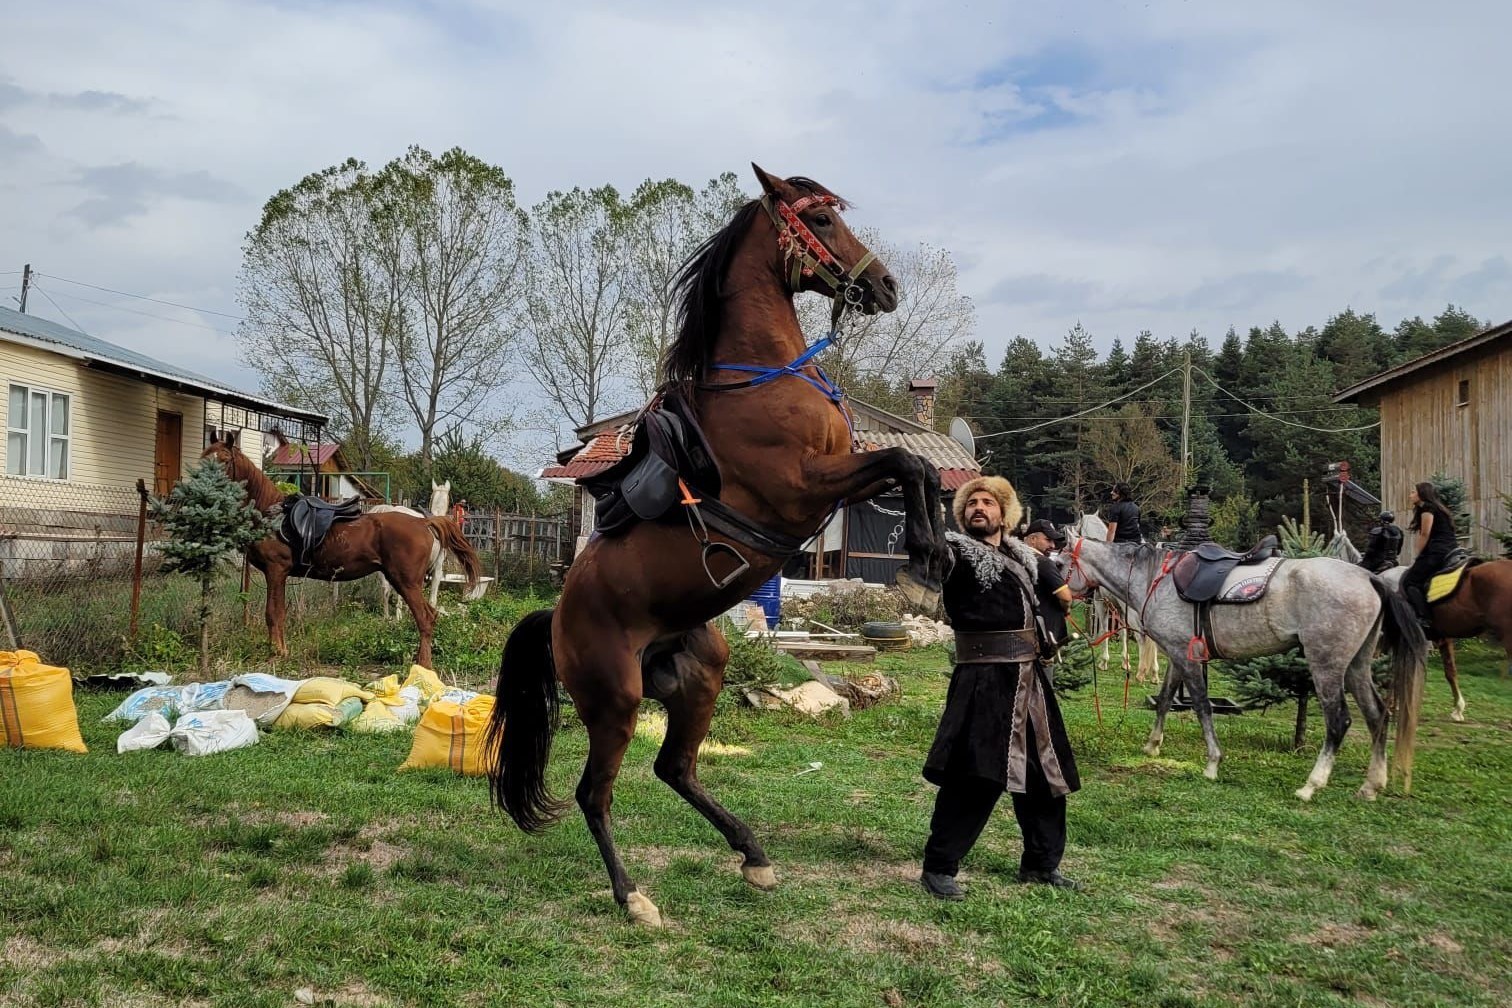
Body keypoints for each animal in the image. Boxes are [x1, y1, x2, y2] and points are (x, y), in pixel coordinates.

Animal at [198, 435, 474, 670]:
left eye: (224, 460)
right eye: (204, 457)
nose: (205, 486)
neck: (272, 514)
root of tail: (424, 522)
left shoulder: (276, 571)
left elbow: (273, 613)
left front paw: (277, 653)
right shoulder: (277, 574)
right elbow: (276, 613)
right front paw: (280, 650)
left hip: (406, 582)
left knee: (426, 617)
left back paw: (423, 666)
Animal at [483, 165, 943, 930]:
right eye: (821, 220)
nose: (884, 287)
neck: (763, 376)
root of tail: (556, 620)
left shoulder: (832, 480)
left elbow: (918, 471)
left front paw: (934, 558)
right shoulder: (804, 486)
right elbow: (907, 464)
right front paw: (924, 564)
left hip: (701, 673)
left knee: (675, 768)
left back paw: (753, 855)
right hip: (615, 699)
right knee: (594, 793)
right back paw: (632, 895)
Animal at [1058, 531, 1421, 797]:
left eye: (1060, 563)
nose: (1058, 597)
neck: (1156, 579)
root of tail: (1370, 579)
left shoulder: (1187, 658)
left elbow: (1202, 706)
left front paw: (1212, 763)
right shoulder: (1177, 653)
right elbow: (1164, 699)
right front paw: (1152, 745)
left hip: (1327, 666)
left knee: (1339, 721)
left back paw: (1311, 785)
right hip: (1357, 666)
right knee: (1377, 715)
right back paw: (1371, 785)